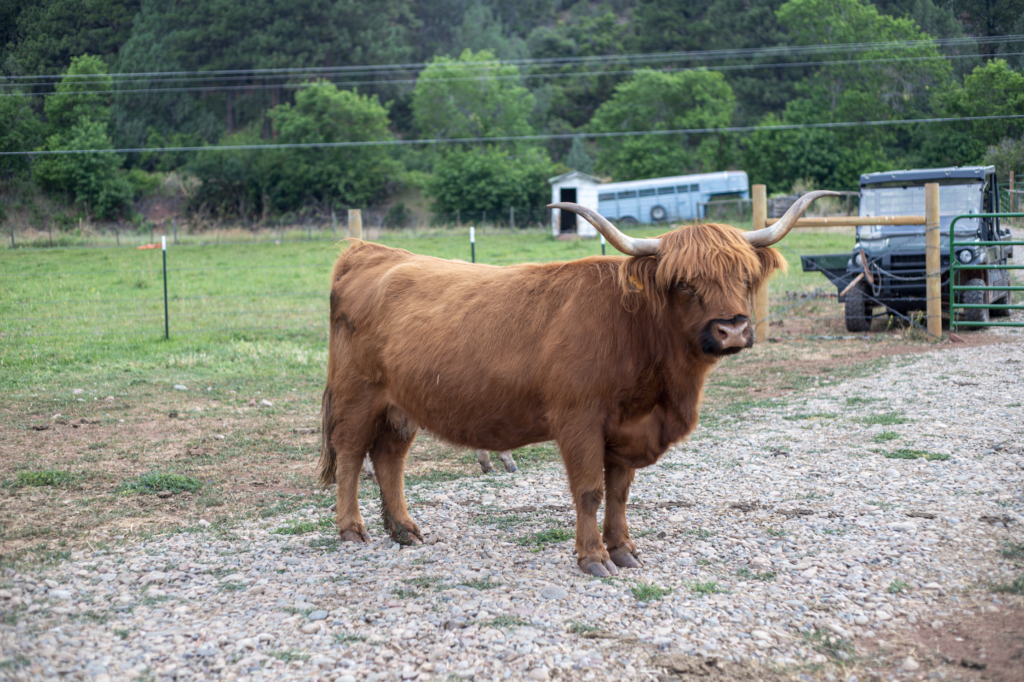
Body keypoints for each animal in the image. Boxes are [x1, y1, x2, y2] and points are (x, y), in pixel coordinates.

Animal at [318, 191, 836, 576]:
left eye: (744, 276)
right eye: (684, 283)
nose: (732, 330)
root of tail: (370, 251)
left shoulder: (628, 428)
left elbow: (620, 491)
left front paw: (623, 549)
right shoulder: (580, 420)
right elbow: (590, 489)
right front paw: (593, 557)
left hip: (400, 407)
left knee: (389, 459)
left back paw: (404, 529)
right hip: (358, 394)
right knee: (351, 456)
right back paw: (352, 530)